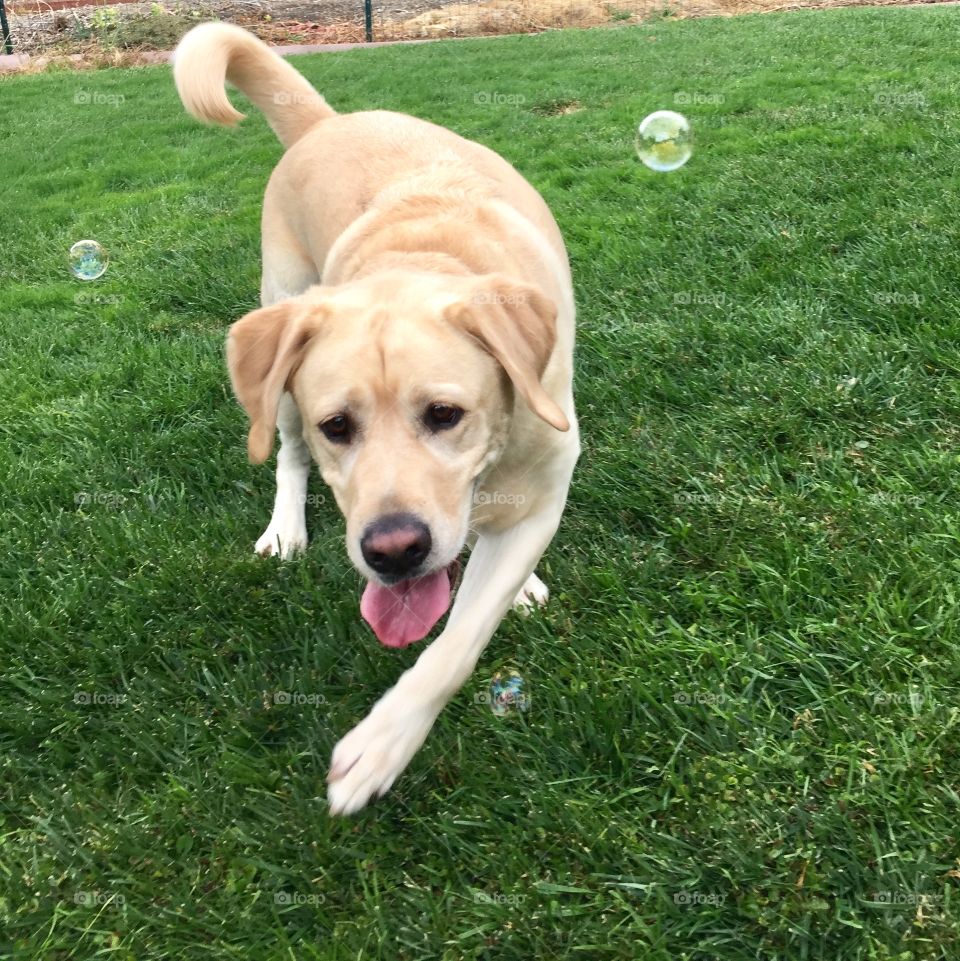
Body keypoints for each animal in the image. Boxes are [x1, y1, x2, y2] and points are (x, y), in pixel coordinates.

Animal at [172, 24, 576, 808]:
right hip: (279, 346)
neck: (422, 258)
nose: (393, 551)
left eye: (445, 413)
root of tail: (327, 122)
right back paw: (285, 528)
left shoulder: (549, 476)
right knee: (285, 456)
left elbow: (458, 639)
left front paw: (385, 740)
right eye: (339, 427)